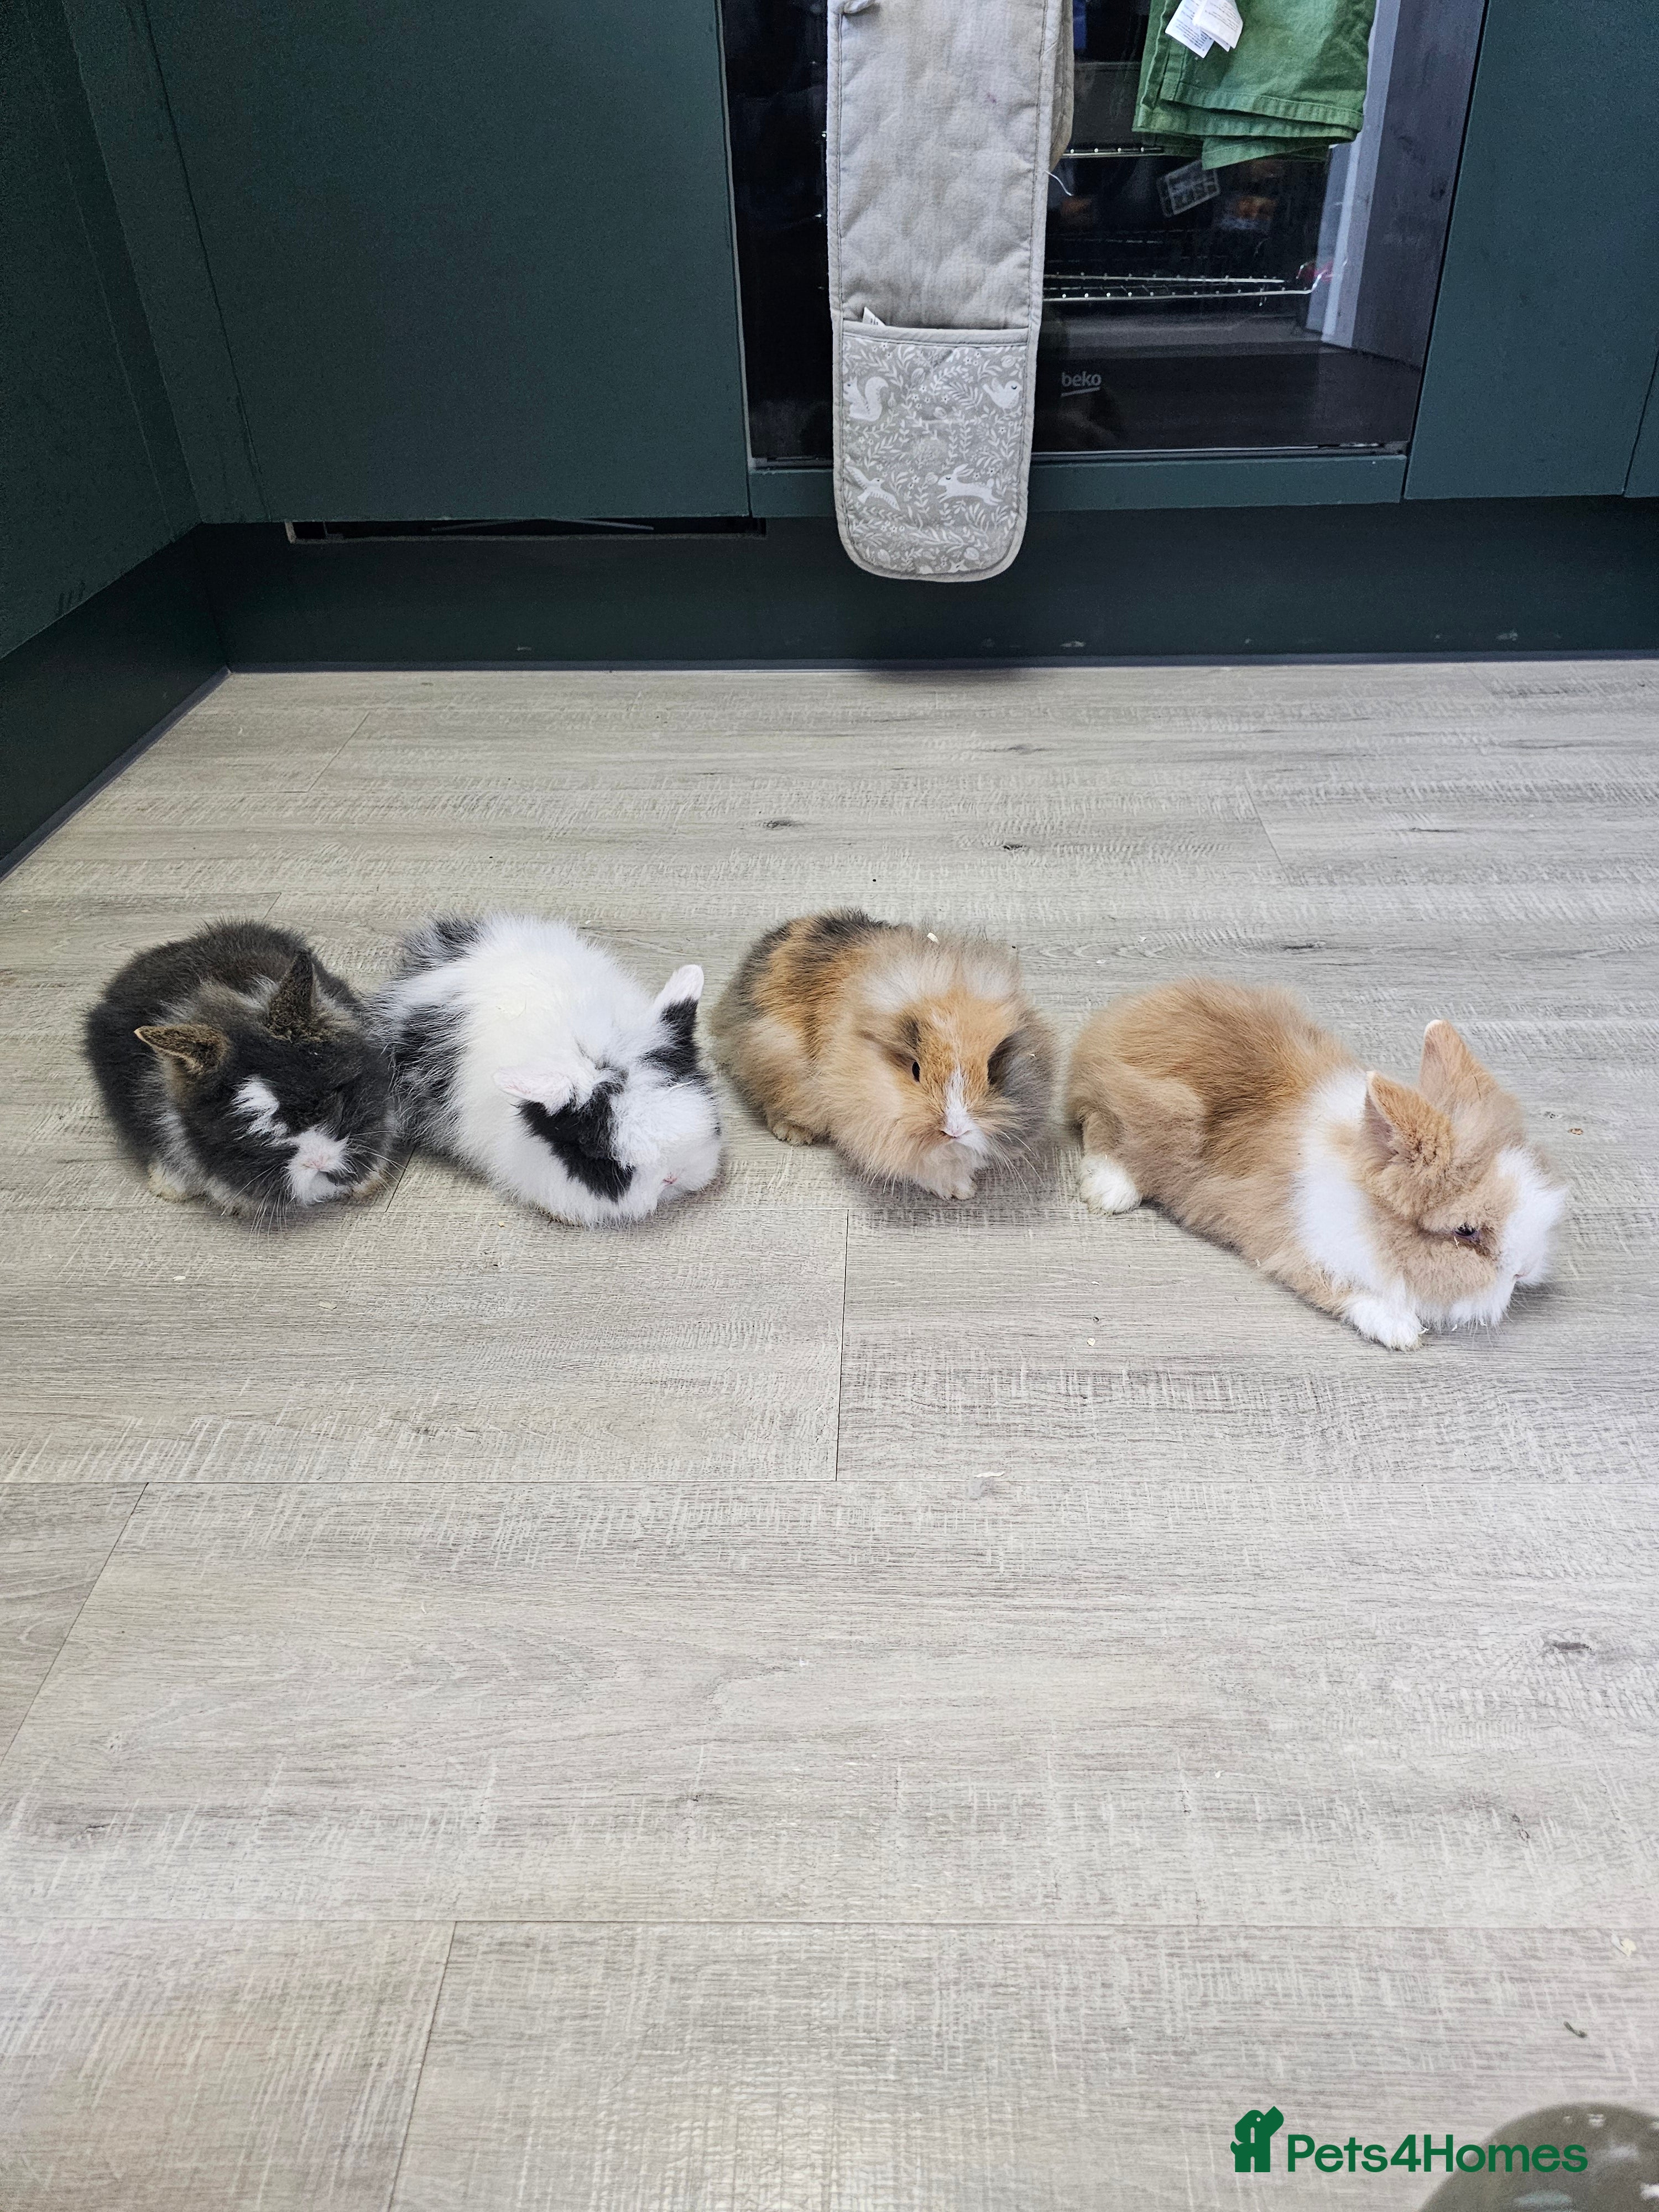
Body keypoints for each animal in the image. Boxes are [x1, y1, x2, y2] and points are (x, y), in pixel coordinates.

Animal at [710, 909, 1053, 1199]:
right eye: (915, 1069)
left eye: (992, 1074)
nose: (954, 1131)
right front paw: (957, 1189)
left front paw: (964, 1188)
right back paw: (794, 1133)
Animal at [1066, 980, 1568, 1349]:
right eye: (1466, 1231)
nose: (1524, 1270)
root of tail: (1119, 1019)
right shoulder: (1300, 1250)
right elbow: (1349, 1292)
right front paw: (1403, 1331)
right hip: (1148, 1110)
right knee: (1100, 1126)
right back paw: (1110, 1191)